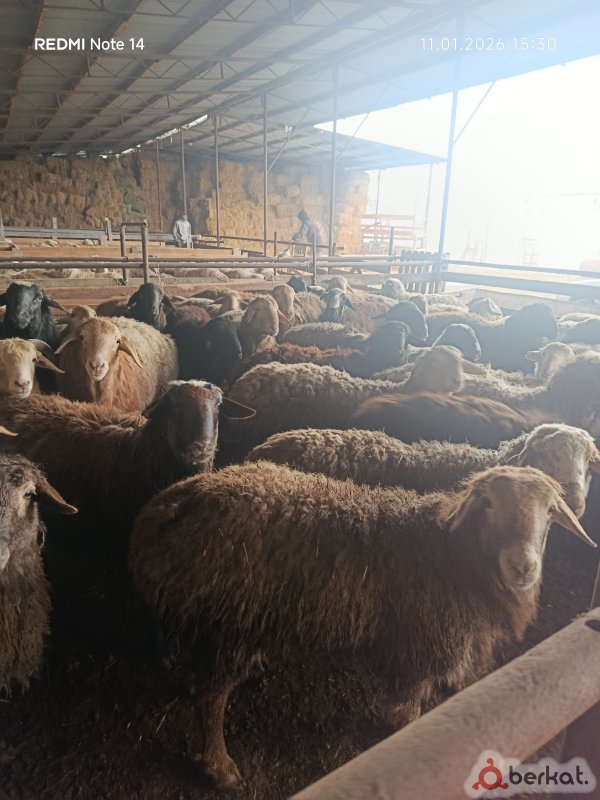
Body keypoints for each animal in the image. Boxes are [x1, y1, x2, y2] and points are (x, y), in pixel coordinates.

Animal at [129, 461, 594, 789]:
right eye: (489, 505)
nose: (523, 566)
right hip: (232, 623)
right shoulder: (421, 649)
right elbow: (407, 711)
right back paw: (220, 766)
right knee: (211, 697)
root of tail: (174, 501)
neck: (450, 552)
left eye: (549, 512)